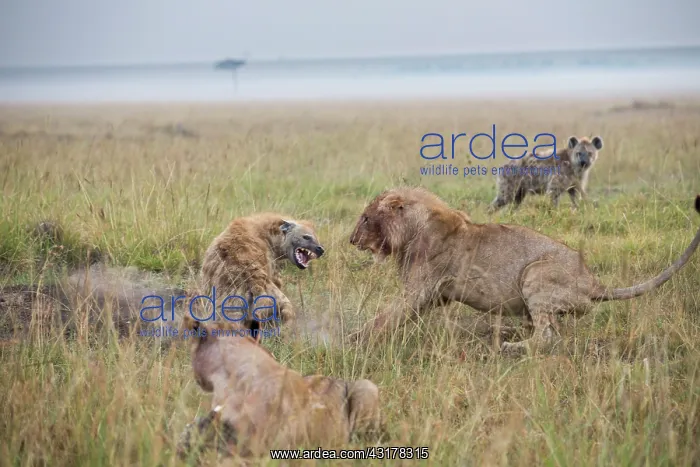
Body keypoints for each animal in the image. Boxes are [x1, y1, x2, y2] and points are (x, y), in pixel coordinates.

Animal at [349, 187, 700, 355]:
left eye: (365, 218)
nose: (351, 240)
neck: (412, 228)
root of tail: (594, 283)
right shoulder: (434, 296)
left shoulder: (418, 291)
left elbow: (384, 317)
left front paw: (354, 340)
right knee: (548, 330)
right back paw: (508, 332)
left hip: (535, 274)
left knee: (547, 337)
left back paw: (510, 346)